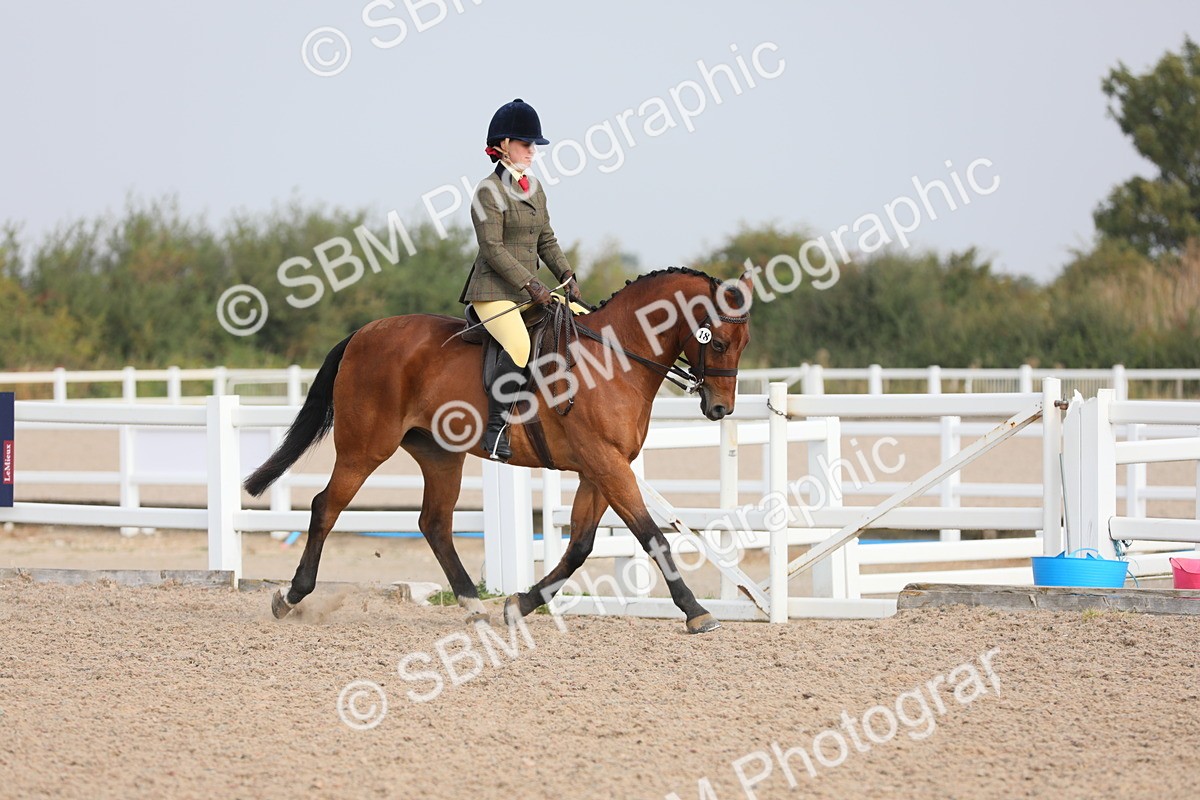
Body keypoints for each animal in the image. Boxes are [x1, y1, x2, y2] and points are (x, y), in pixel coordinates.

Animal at [243, 266, 753, 634]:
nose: (720, 408)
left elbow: (580, 546)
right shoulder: (607, 464)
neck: (614, 357)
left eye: (744, 343)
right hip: (364, 448)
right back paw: (290, 597)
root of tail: (363, 334)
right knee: (325, 507)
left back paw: (474, 605)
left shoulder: (601, 468)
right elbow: (653, 536)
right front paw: (697, 612)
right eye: (718, 341)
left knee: (434, 524)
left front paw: (520, 604)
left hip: (440, 454)